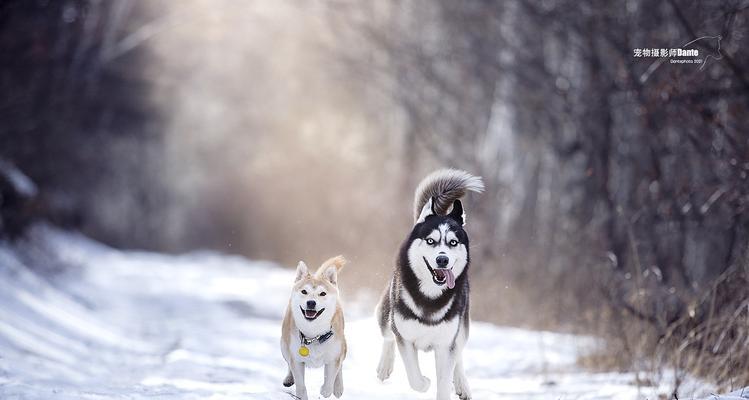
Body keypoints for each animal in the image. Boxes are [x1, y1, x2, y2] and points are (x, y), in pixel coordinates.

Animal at [280, 256, 348, 400]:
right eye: (304, 291)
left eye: (322, 293)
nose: (311, 302)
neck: (313, 335)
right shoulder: (296, 360)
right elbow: (300, 386)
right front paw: (301, 395)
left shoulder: (333, 358)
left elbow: (329, 383)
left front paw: (326, 390)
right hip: (283, 345)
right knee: (288, 362)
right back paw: (289, 379)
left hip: (343, 347)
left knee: (340, 367)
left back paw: (338, 387)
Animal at [374, 169, 486, 400]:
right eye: (431, 241)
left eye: (453, 242)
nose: (442, 260)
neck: (430, 297)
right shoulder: (405, 338)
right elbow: (415, 378)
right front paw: (424, 382)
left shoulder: (446, 344)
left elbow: (444, 378)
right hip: (385, 315)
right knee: (387, 335)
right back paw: (385, 366)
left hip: (463, 327)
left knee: (459, 353)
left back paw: (462, 384)